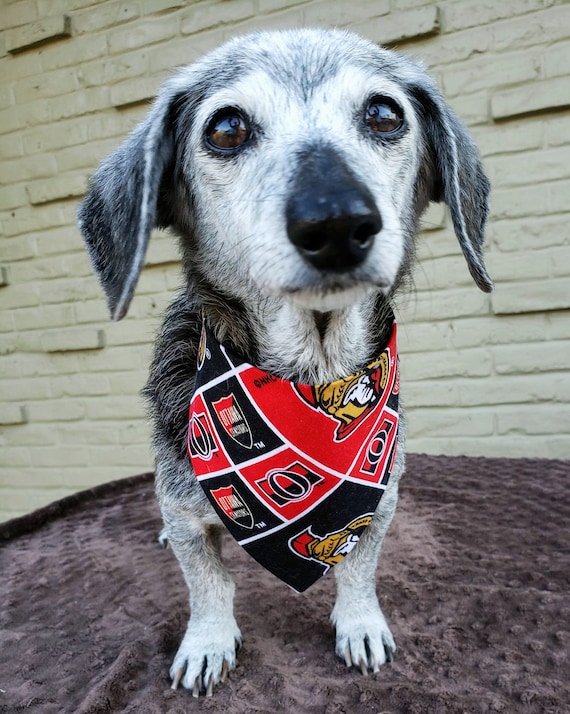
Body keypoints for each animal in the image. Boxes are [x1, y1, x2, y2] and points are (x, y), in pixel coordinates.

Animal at [77, 27, 490, 696]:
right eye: (226, 128)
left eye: (384, 114)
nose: (337, 220)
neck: (310, 382)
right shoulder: (189, 518)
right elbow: (209, 584)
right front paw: (208, 642)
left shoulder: (379, 506)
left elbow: (358, 572)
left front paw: (359, 624)